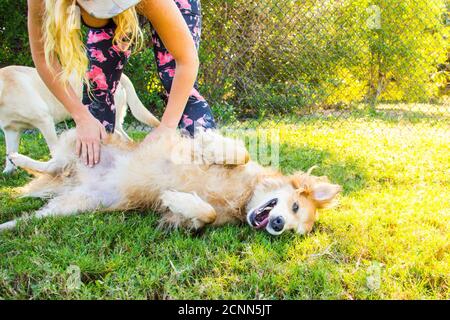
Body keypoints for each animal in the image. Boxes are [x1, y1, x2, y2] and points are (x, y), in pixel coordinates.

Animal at [0, 66, 160, 174]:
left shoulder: (44, 120)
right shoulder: (10, 130)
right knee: (125, 138)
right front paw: (8, 171)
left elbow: (54, 150)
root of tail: (122, 76)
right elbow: (9, 149)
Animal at [0, 129, 342, 236]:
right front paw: (215, 146)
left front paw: (179, 200)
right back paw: (18, 158)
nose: (279, 225)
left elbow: (206, 215)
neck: (243, 196)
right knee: (53, 161)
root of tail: (74, 181)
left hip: (72, 207)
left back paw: (6, 224)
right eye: (294, 206)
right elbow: (241, 153)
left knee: (30, 217)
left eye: (293, 232)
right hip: (83, 143)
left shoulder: (195, 221)